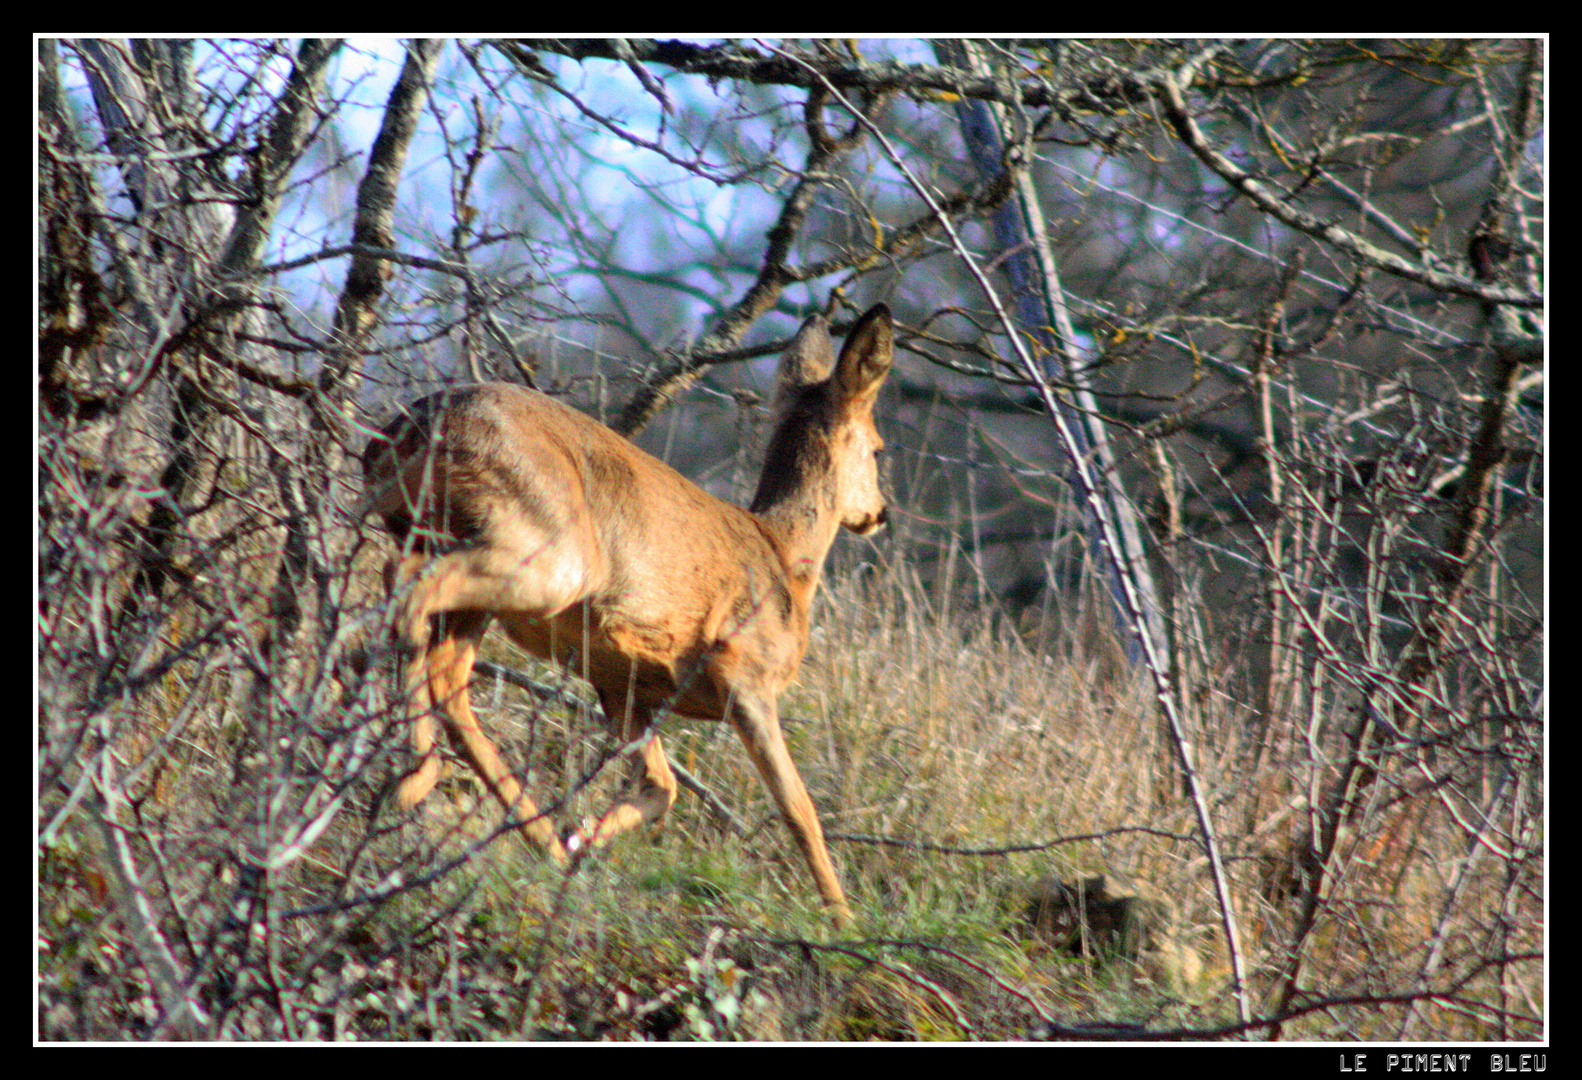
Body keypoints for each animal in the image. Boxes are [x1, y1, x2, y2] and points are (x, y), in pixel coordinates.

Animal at [362, 300, 898, 923]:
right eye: (878, 447)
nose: (879, 513)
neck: (787, 561)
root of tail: (407, 428)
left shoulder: (625, 683)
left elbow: (660, 786)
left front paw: (581, 836)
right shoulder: (745, 676)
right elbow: (799, 808)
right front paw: (844, 920)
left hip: (467, 556)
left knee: (443, 664)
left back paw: (537, 838)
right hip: (545, 551)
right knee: (407, 590)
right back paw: (415, 776)